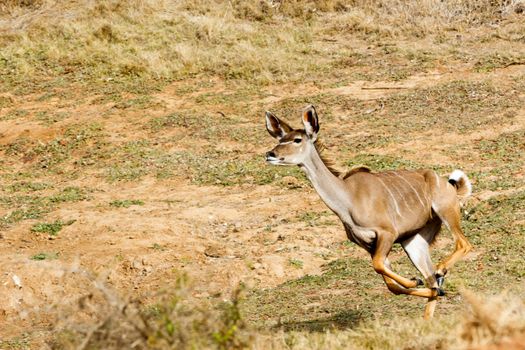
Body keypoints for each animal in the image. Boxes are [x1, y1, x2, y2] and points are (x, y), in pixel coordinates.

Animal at [264, 105, 472, 318]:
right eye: (280, 139)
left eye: (297, 139)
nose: (270, 154)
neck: (348, 198)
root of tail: (450, 185)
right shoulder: (369, 245)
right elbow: (390, 284)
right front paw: (417, 281)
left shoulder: (387, 233)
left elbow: (380, 267)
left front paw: (415, 280)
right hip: (413, 242)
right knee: (432, 280)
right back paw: (433, 296)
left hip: (445, 212)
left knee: (463, 244)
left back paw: (440, 271)